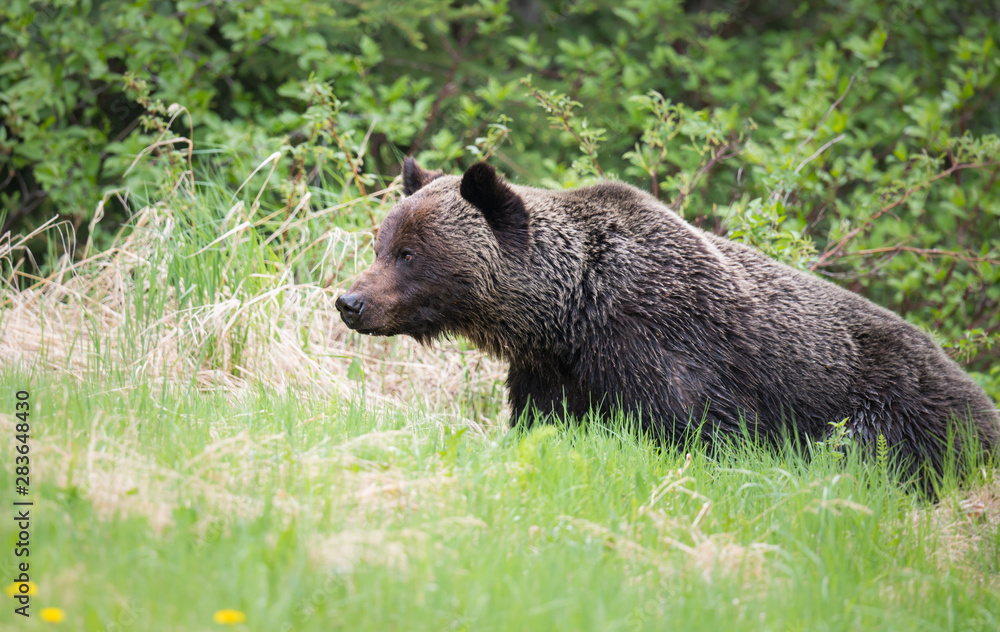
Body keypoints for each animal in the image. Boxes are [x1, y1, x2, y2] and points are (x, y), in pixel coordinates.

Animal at [336, 158, 1000, 475]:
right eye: (381, 242)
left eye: (409, 252)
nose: (350, 302)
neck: (572, 312)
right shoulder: (553, 369)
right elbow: (540, 422)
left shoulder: (661, 343)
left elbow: (701, 433)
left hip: (899, 409)